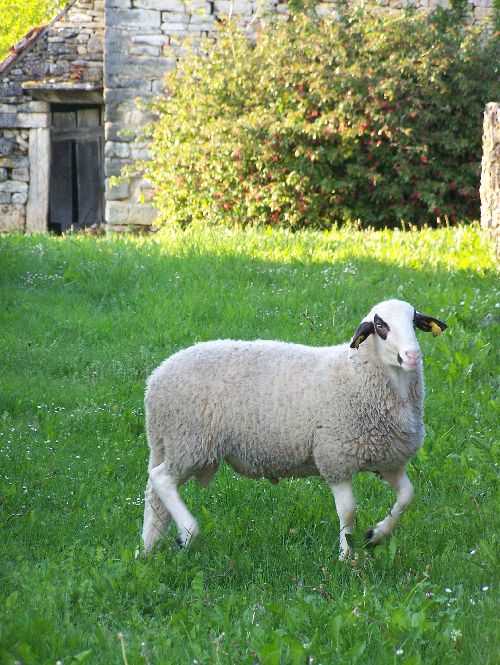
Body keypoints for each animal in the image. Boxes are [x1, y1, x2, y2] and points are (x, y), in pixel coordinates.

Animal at [143, 298, 448, 556]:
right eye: (381, 326)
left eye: (414, 322)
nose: (412, 355)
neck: (356, 373)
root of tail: (155, 379)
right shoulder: (334, 458)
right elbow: (348, 511)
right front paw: (347, 556)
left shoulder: (387, 461)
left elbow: (407, 497)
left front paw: (375, 535)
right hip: (190, 442)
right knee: (161, 480)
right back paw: (186, 534)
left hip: (181, 444)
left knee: (154, 496)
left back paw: (148, 547)